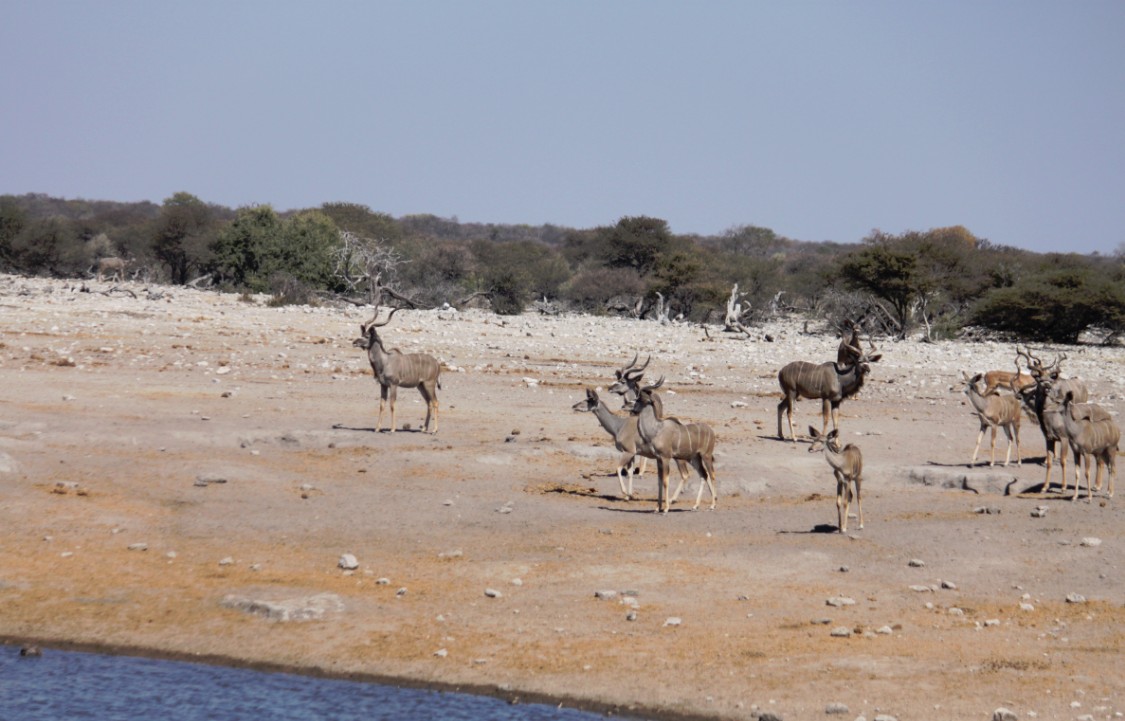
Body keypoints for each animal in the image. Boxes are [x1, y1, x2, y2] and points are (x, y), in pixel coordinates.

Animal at [630, 377, 715, 512]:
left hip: (706, 456)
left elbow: (665, 481)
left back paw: (712, 505)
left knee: (711, 475)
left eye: (640, 399)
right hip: (695, 459)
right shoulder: (658, 459)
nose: (633, 411)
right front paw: (657, 508)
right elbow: (659, 482)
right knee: (703, 475)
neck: (656, 429)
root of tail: (711, 431)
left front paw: (665, 509)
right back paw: (695, 505)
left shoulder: (665, 458)